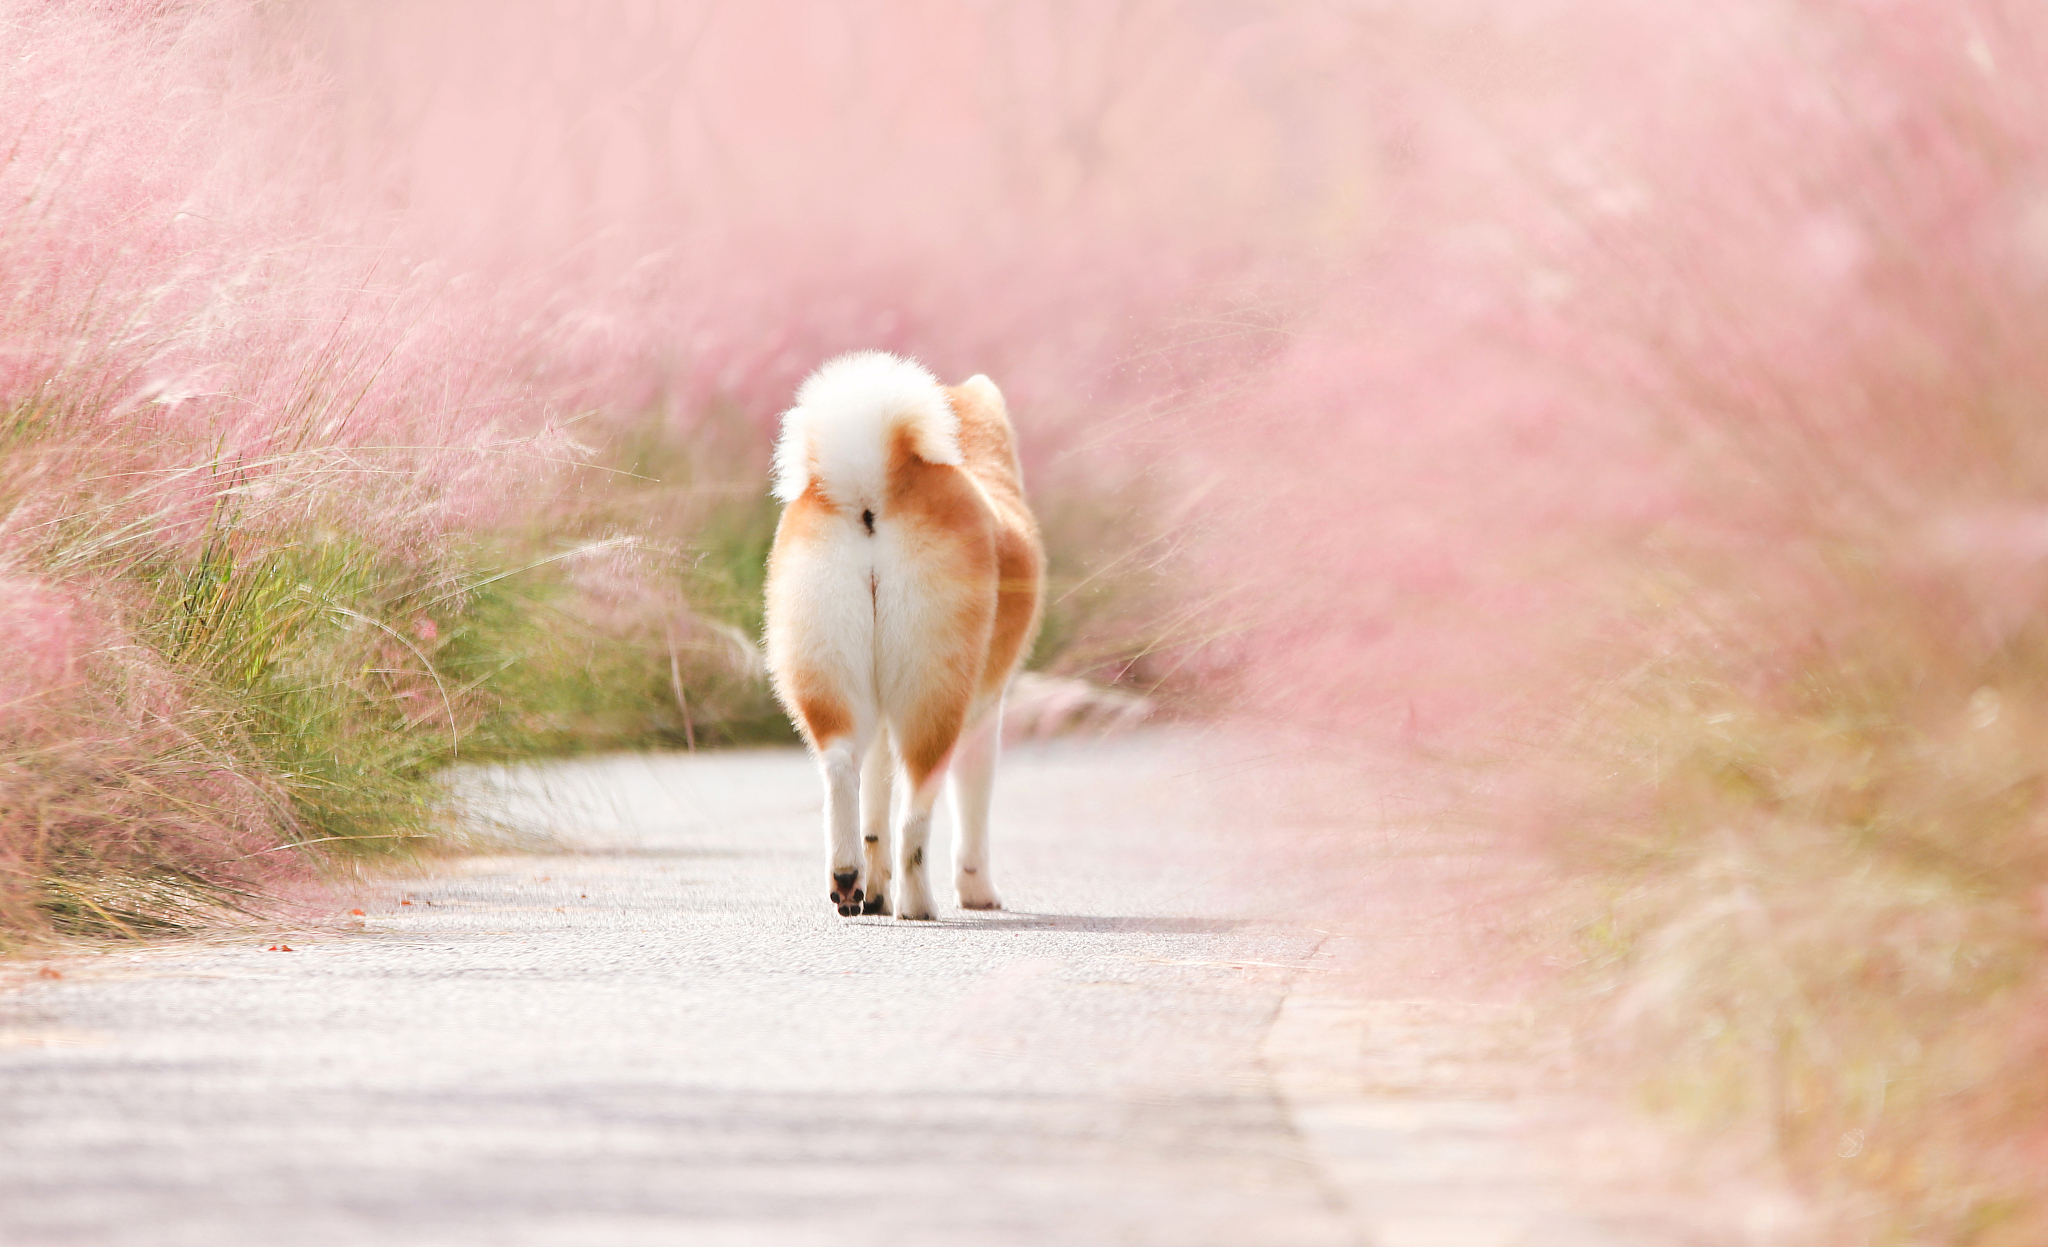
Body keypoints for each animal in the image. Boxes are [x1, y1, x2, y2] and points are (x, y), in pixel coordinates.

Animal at [765, 350, 1040, 913]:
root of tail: (873, 483)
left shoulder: (879, 716)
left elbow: (874, 812)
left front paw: (875, 891)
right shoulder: (987, 712)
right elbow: (971, 816)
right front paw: (978, 891)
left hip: (829, 678)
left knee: (840, 768)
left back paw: (849, 878)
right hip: (936, 697)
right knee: (916, 812)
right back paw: (918, 904)